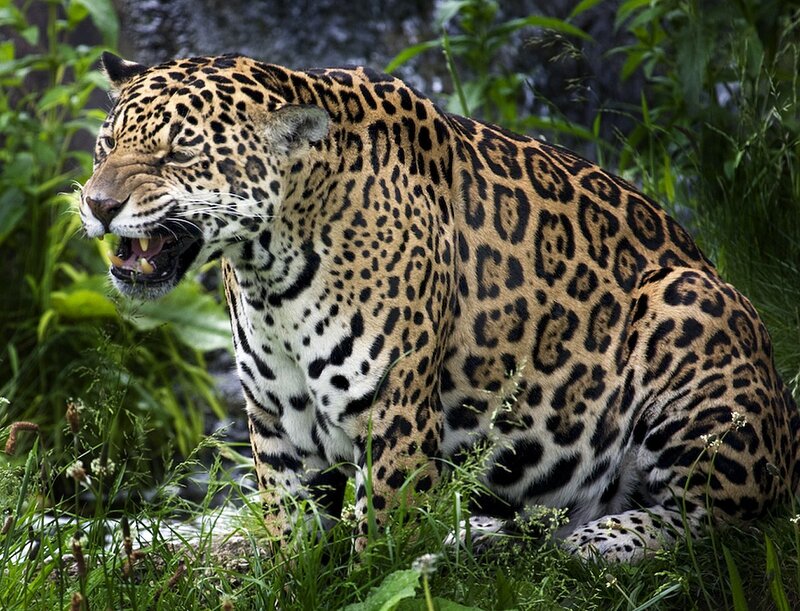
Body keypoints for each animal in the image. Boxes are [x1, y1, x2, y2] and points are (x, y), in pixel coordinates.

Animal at [79, 51, 800, 562]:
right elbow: (293, 538)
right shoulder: (277, 422)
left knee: (726, 518)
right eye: (105, 145)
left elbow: (379, 553)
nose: (97, 203)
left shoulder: (392, 418)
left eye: (179, 152)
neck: (271, 269)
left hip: (692, 313)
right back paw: (472, 530)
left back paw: (606, 540)